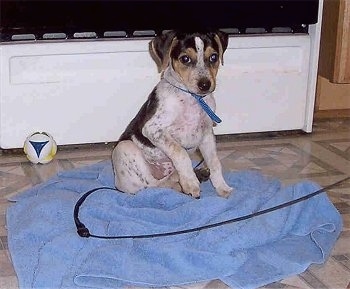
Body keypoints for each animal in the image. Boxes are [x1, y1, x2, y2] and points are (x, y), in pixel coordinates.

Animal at [112, 29, 232, 198]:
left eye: (213, 57)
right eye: (185, 59)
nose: (205, 85)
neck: (192, 99)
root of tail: (118, 185)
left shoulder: (207, 134)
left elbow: (215, 162)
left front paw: (222, 187)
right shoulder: (153, 130)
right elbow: (180, 152)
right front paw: (190, 183)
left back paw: (195, 174)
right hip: (125, 147)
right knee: (153, 185)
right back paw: (185, 182)